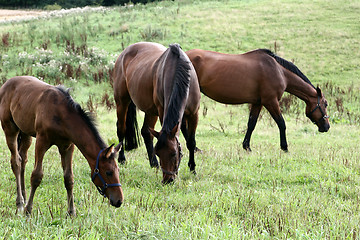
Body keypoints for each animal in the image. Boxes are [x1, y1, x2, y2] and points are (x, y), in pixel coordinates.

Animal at [0, 77, 124, 216]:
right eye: (108, 172)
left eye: (118, 170)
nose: (119, 200)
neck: (60, 114)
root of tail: (6, 84)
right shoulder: (41, 142)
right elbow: (36, 176)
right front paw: (28, 210)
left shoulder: (67, 146)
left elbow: (68, 178)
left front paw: (71, 211)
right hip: (10, 129)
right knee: (16, 162)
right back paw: (21, 203)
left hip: (26, 133)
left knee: (23, 160)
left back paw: (24, 198)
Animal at [114, 41, 201, 184]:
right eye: (159, 153)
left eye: (174, 153)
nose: (168, 180)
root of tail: (124, 53)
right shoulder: (162, 111)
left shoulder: (194, 114)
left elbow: (190, 141)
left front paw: (193, 169)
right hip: (122, 102)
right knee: (121, 129)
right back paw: (122, 159)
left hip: (150, 110)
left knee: (145, 132)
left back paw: (153, 164)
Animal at [187, 47, 330, 151]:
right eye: (325, 104)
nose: (327, 126)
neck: (279, 71)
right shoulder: (271, 102)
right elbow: (281, 123)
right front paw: (284, 147)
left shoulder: (258, 103)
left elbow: (251, 124)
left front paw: (246, 147)